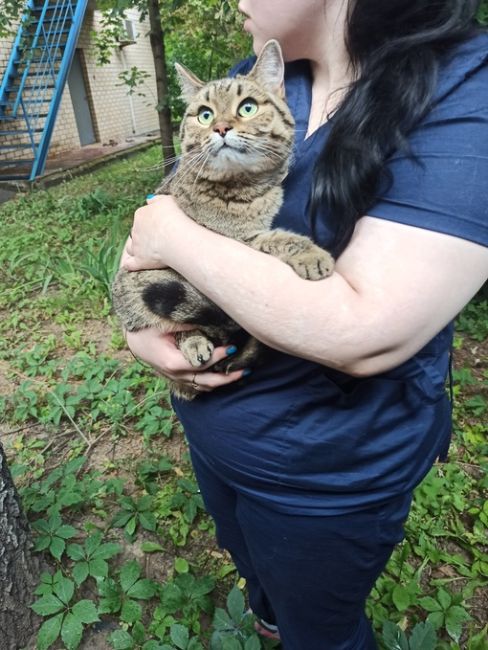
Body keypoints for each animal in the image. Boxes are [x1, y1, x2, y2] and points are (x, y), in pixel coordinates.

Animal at [111, 40, 334, 400]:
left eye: (247, 108)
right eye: (205, 115)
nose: (220, 128)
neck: (239, 189)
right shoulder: (231, 243)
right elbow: (277, 238)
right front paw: (311, 253)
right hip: (144, 288)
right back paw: (195, 343)